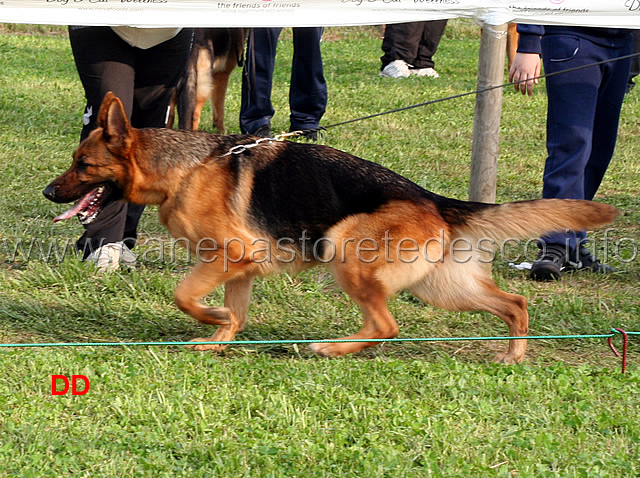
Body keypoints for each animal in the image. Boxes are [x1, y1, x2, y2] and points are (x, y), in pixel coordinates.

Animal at [43, 92, 616, 362]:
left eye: (83, 165)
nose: (49, 193)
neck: (183, 168)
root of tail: (433, 200)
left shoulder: (230, 257)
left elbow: (185, 296)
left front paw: (209, 322)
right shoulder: (242, 268)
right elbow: (234, 313)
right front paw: (220, 338)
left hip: (344, 249)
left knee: (386, 326)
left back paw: (330, 349)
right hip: (441, 287)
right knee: (514, 303)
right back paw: (514, 355)